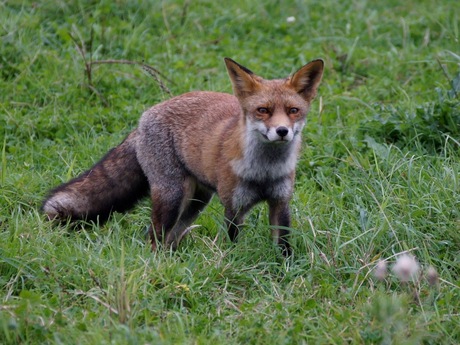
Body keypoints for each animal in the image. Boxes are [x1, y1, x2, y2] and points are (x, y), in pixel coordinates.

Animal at [42, 57, 324, 255]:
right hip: (173, 196)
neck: (264, 171)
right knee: (153, 237)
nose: (282, 131)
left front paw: (284, 270)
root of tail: (145, 116)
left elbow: (284, 246)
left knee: (171, 237)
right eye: (263, 110)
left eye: (293, 110)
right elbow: (232, 242)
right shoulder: (234, 207)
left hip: (196, 202)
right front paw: (234, 261)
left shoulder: (280, 201)